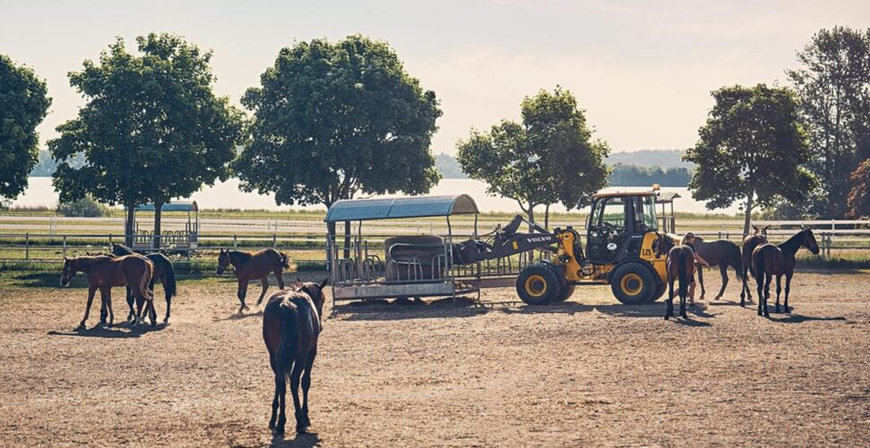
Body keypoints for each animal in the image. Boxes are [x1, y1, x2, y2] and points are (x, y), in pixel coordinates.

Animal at [262, 278, 328, 436]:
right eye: (322, 300)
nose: (321, 327)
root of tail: (287, 303)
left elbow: (278, 382)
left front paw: (273, 418)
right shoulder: (311, 352)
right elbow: (305, 381)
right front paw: (305, 415)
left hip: (274, 356)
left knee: (280, 381)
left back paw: (279, 423)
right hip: (301, 355)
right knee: (294, 381)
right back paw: (300, 422)